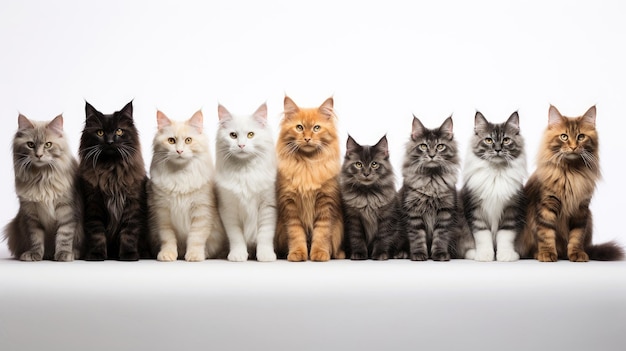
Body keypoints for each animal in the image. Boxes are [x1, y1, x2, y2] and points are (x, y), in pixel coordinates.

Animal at [4, 115, 82, 262]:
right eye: (30, 145)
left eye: (48, 144)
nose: (39, 155)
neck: (42, 177)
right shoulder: (31, 215)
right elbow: (36, 238)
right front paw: (35, 254)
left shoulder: (66, 210)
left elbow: (64, 235)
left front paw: (63, 254)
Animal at [78, 100, 150, 260]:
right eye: (100, 132)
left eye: (119, 131)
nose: (110, 141)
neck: (111, 171)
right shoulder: (94, 203)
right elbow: (97, 233)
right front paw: (96, 255)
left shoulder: (132, 204)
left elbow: (128, 233)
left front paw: (128, 255)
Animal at [214, 102, 276, 262]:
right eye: (233, 135)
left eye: (250, 135)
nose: (241, 145)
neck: (245, 171)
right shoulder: (229, 209)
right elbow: (236, 237)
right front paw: (238, 255)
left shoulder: (268, 206)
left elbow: (265, 235)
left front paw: (265, 255)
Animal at [274, 96, 344, 262]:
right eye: (299, 127)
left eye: (316, 128)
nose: (307, 138)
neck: (307, 165)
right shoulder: (290, 206)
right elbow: (296, 235)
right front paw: (298, 254)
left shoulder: (325, 203)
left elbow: (321, 235)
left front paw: (319, 254)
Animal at [516, 106, 620, 262]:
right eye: (564, 136)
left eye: (581, 137)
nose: (573, 147)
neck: (571, 173)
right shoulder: (547, 205)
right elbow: (546, 234)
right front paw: (547, 253)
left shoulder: (581, 210)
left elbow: (576, 236)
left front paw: (577, 254)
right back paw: (538, 254)